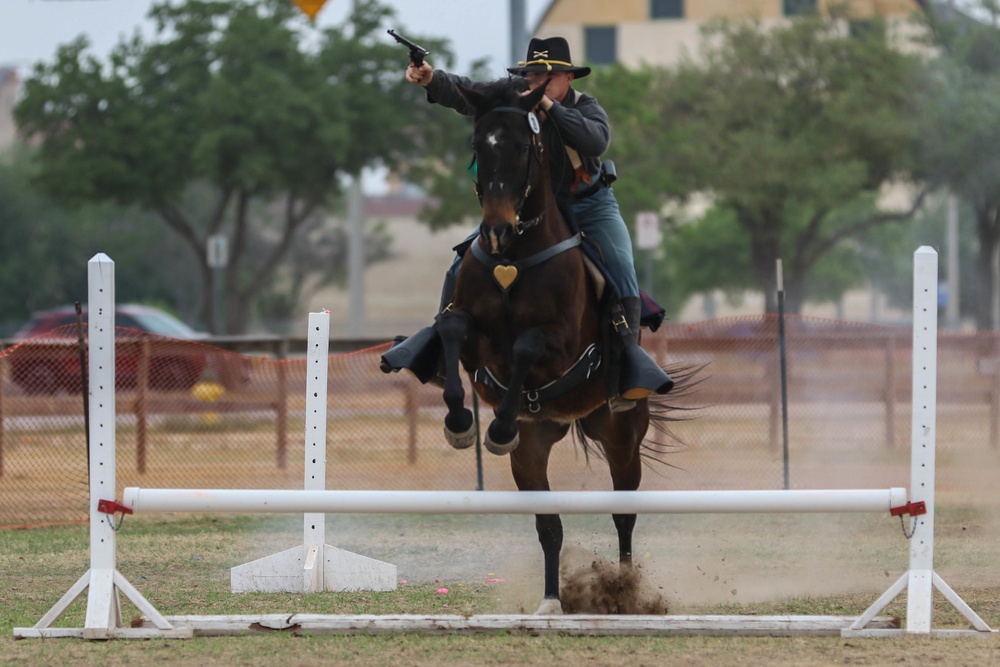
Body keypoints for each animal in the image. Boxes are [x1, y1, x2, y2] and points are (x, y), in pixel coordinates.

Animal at [434, 78, 684, 616]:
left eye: (522, 147)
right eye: (478, 146)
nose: (496, 230)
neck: (515, 259)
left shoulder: (561, 346)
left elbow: (527, 346)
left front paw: (496, 426)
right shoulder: (474, 339)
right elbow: (451, 331)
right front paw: (462, 423)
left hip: (621, 435)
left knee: (624, 514)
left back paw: (624, 590)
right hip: (533, 450)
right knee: (549, 525)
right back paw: (552, 599)